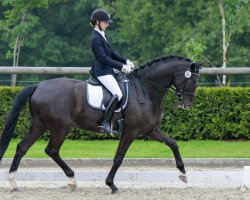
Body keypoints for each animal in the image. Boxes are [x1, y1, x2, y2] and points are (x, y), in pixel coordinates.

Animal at [0, 55, 203, 193]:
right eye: (192, 80)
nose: (187, 105)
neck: (146, 89)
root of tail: (38, 86)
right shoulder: (130, 132)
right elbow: (118, 158)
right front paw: (111, 185)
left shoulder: (150, 130)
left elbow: (173, 144)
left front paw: (183, 174)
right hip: (60, 127)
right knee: (51, 150)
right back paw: (72, 180)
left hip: (40, 124)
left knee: (22, 147)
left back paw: (13, 182)